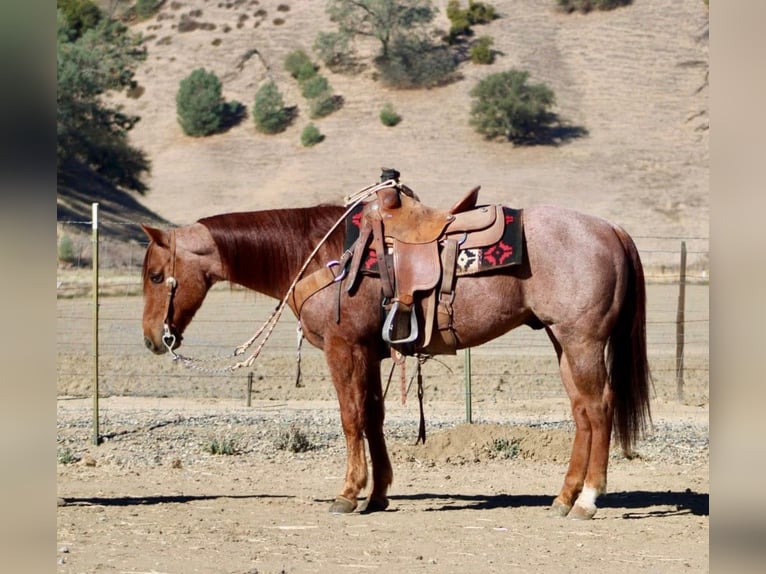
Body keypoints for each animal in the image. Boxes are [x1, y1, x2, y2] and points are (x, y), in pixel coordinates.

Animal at [140, 191, 651, 520]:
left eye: (154, 275)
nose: (151, 338)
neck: (318, 254)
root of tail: (611, 228)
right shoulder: (370, 352)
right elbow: (373, 417)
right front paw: (379, 493)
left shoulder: (345, 349)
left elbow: (351, 417)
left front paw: (349, 493)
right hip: (561, 340)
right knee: (582, 412)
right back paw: (562, 499)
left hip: (582, 341)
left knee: (599, 409)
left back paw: (587, 500)